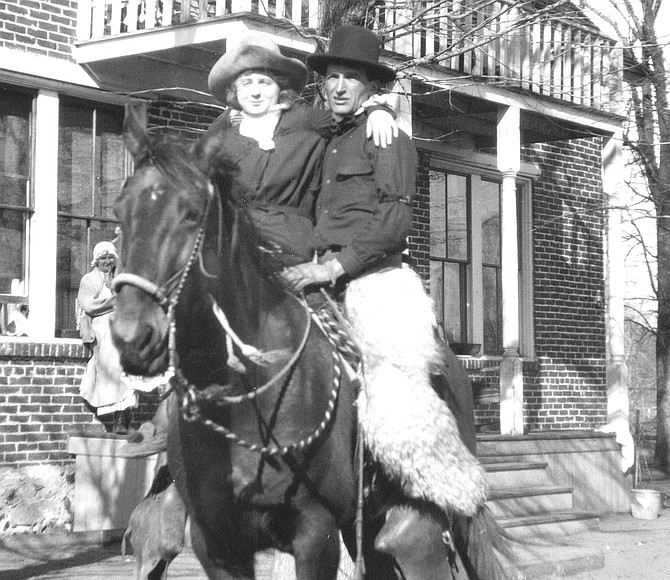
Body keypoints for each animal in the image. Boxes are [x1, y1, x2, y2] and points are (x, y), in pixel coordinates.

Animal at [113, 110, 516, 580]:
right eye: (120, 211)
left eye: (193, 214)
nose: (133, 337)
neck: (247, 392)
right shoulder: (216, 543)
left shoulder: (314, 532)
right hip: (369, 526)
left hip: (419, 519)